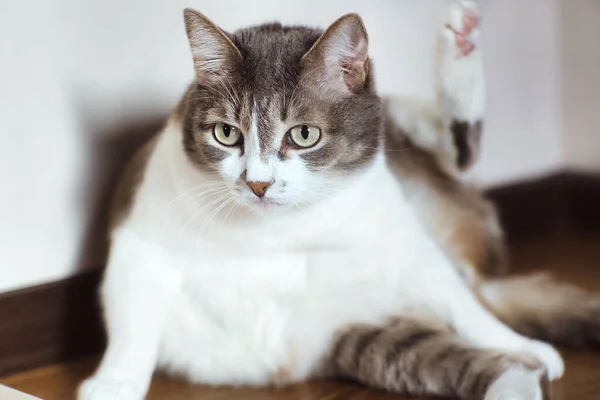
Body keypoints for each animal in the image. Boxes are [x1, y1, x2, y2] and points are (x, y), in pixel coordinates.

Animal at [79, 1, 600, 398]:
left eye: (304, 134)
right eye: (226, 133)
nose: (258, 184)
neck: (273, 232)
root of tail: (479, 272)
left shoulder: (398, 239)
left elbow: (457, 304)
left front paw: (519, 344)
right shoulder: (141, 230)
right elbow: (132, 321)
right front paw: (113, 383)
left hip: (408, 145)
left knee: (456, 154)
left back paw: (460, 45)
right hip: (363, 335)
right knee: (451, 359)